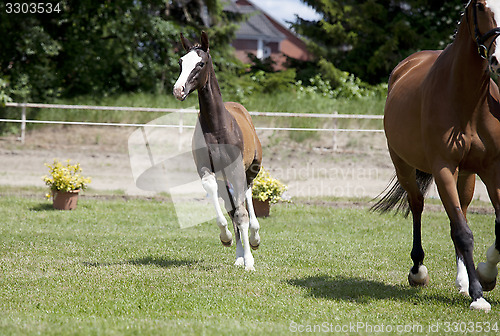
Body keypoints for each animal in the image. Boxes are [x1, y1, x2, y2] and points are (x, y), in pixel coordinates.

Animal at [174, 31, 264, 270]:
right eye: (181, 62)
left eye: (201, 63)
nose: (178, 90)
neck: (217, 127)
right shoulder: (206, 169)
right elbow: (222, 203)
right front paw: (227, 239)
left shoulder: (236, 169)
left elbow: (241, 212)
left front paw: (250, 261)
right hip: (226, 177)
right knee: (232, 206)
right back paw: (239, 255)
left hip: (251, 169)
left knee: (247, 195)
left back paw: (254, 239)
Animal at [374, 0, 500, 312]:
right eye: (481, 6)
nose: (497, 58)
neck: (468, 101)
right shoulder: (444, 168)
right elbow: (463, 233)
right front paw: (479, 294)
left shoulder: (492, 169)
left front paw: (485, 274)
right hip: (404, 166)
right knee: (418, 206)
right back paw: (418, 271)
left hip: (466, 177)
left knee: (461, 212)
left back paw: (463, 280)